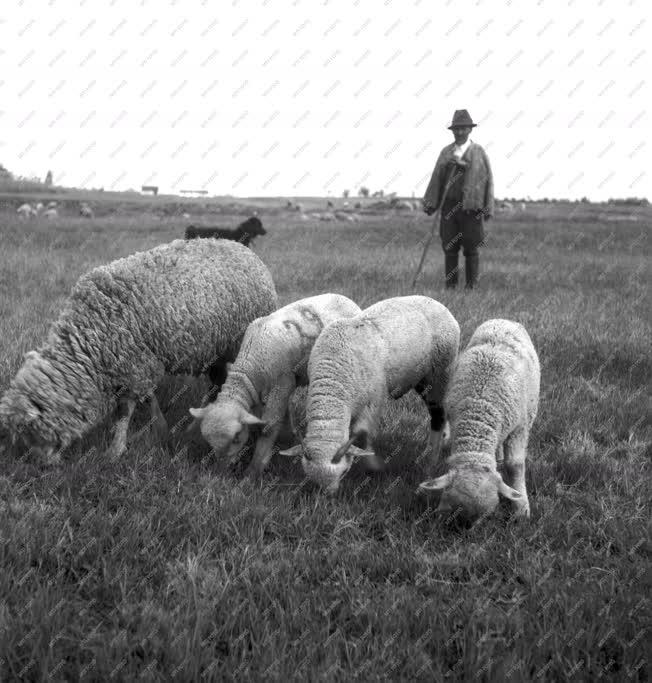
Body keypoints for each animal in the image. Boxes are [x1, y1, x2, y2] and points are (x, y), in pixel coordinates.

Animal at [0, 238, 278, 462]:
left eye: (31, 432)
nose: (43, 466)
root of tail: (245, 250)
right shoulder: (139, 363)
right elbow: (146, 398)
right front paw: (158, 427)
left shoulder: (136, 364)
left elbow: (125, 411)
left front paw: (116, 450)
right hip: (215, 349)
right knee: (216, 382)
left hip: (235, 343)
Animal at [188, 292, 362, 476]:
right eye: (209, 442)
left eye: (236, 438)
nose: (220, 472)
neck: (250, 364)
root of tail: (345, 298)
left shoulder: (282, 382)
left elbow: (268, 427)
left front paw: (254, 470)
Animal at [280, 296, 458, 494]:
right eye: (310, 477)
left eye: (343, 473)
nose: (329, 496)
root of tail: (435, 302)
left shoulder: (373, 401)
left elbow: (362, 434)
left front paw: (373, 466)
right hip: (422, 379)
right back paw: (444, 441)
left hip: (439, 373)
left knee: (438, 414)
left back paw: (430, 458)